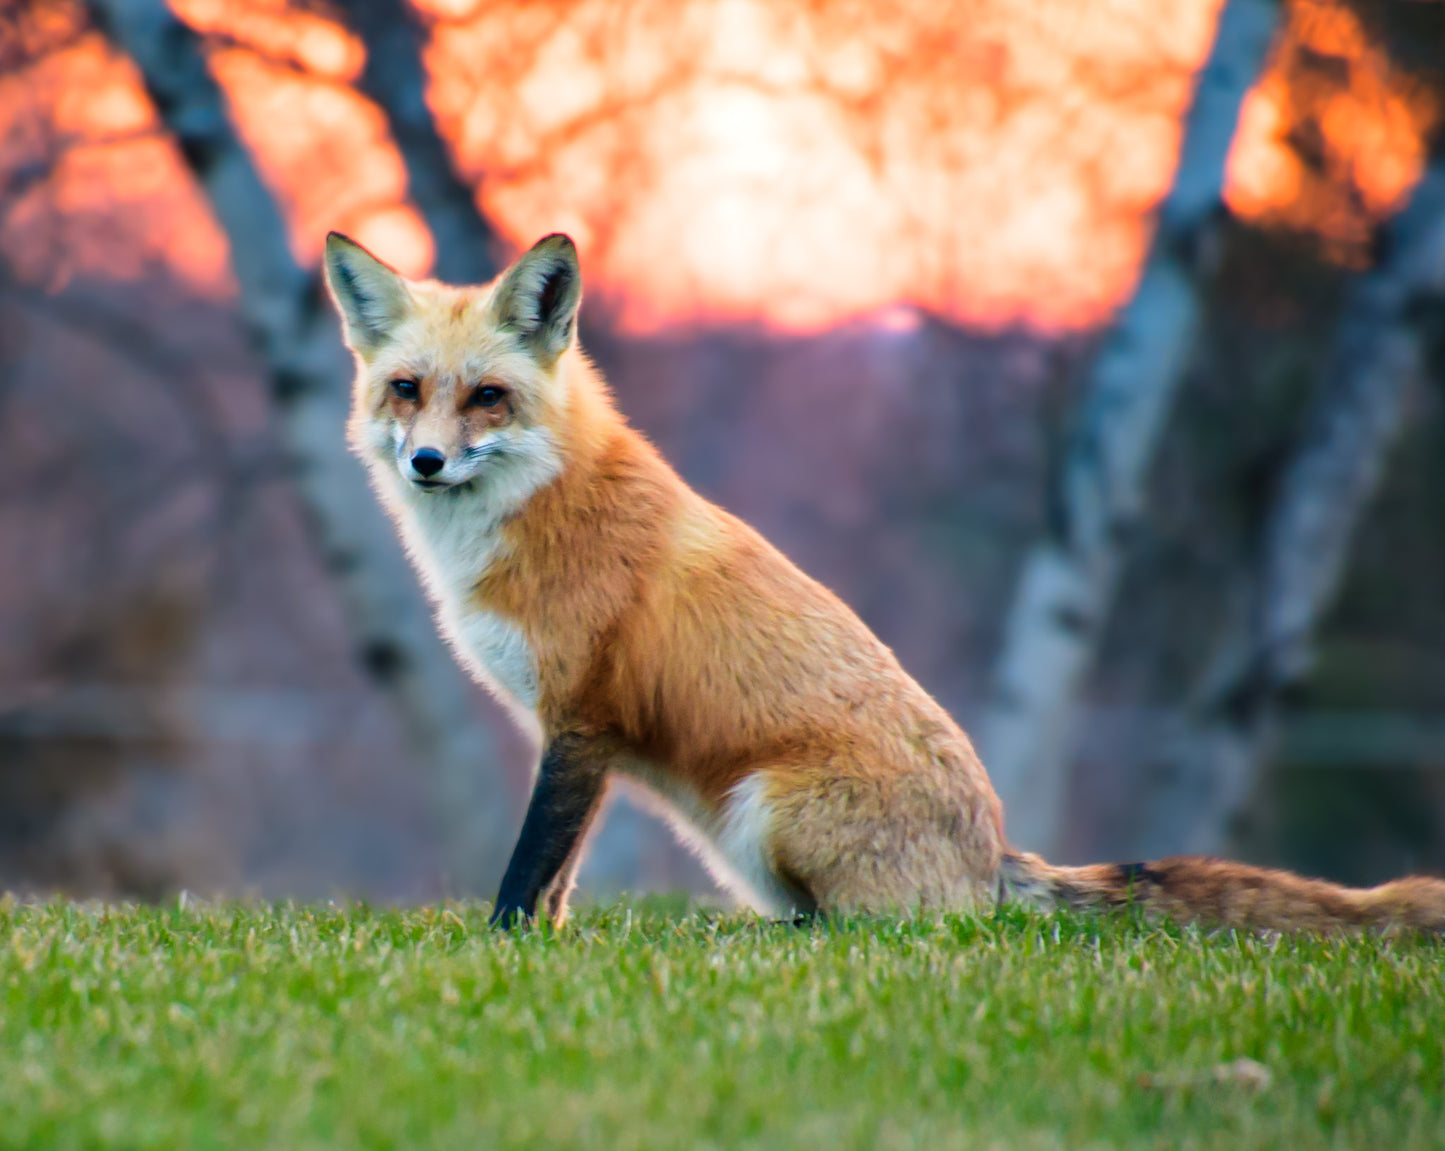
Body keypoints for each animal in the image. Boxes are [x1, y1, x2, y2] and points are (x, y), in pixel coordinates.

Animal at [322, 226, 1445, 935]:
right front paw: (543, 946)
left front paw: (502, 947)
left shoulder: (584, 719)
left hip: (764, 807)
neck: (535, 515)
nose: (425, 462)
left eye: (488, 397)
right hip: (735, 836)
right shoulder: (574, 736)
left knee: (865, 936)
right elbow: (558, 880)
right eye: (407, 390)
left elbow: (528, 874)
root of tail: (993, 861)